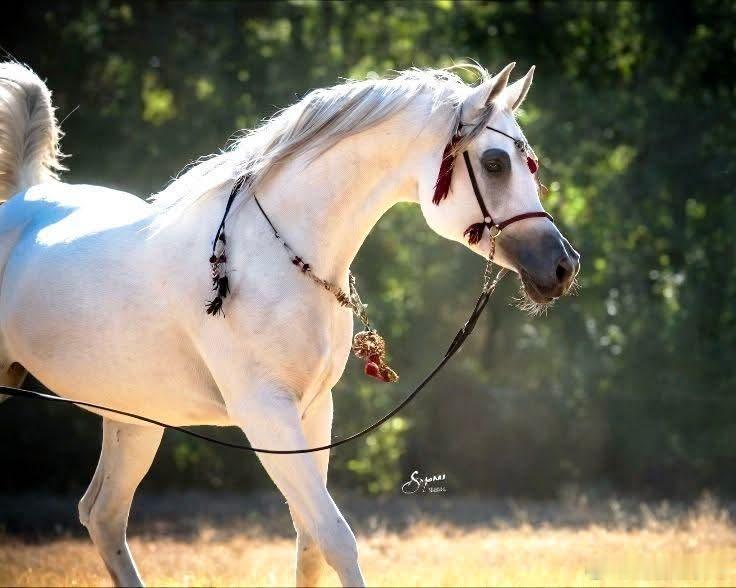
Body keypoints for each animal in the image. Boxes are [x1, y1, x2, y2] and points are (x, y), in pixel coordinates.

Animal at [0, 60, 579, 586]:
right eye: (496, 163)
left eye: (529, 164)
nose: (564, 266)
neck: (272, 256)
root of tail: (25, 198)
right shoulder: (265, 417)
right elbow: (335, 537)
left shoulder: (314, 412)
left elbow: (311, 545)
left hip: (135, 418)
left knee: (103, 515)